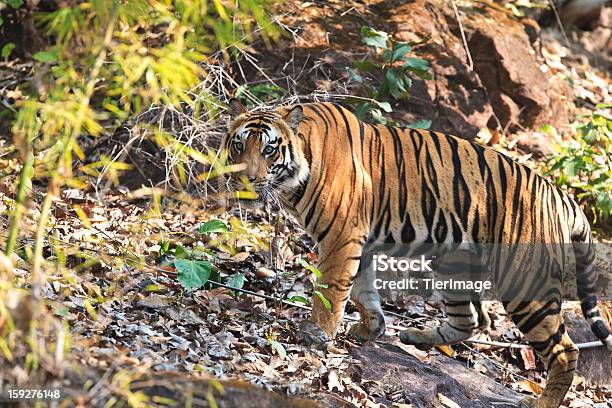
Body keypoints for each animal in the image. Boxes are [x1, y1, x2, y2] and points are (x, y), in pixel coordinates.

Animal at [221, 99, 612, 408]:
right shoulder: (358, 242)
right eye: (238, 146)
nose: (244, 178)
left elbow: (331, 293)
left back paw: (540, 402)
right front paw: (372, 328)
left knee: (565, 350)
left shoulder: (341, 238)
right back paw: (416, 337)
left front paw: (316, 334)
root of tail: (561, 195)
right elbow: (362, 290)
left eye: (269, 150)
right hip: (455, 265)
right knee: (474, 320)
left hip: (524, 283)